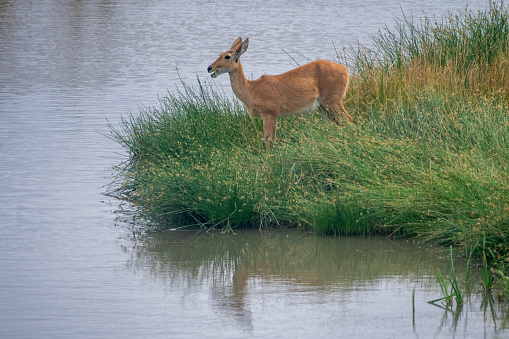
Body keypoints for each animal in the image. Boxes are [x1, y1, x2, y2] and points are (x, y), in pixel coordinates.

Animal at [208, 37, 352, 149]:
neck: (251, 91)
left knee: (348, 120)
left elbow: (266, 141)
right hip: (323, 107)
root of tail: (345, 69)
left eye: (227, 56)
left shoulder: (268, 113)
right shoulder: (275, 116)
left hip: (333, 101)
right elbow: (273, 140)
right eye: (219, 54)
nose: (209, 67)